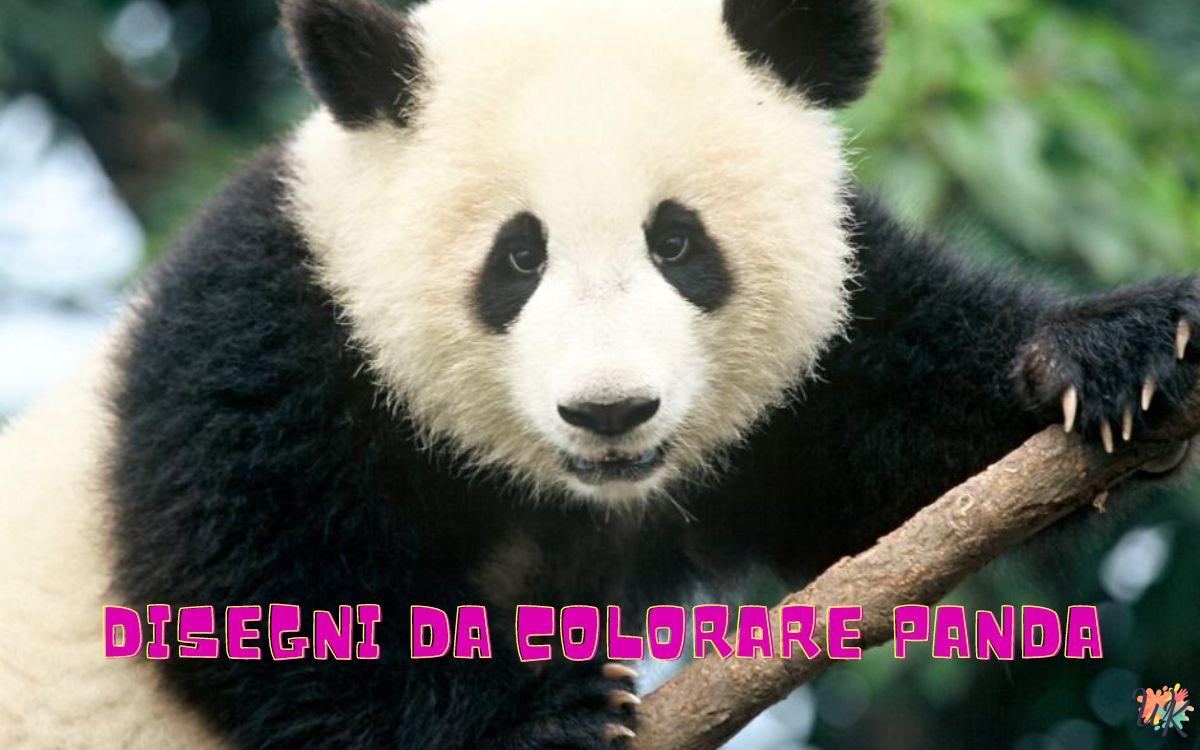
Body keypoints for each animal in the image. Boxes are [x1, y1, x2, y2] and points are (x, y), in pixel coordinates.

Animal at [1, 0, 1196, 747]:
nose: (611, 411)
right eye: (516, 257)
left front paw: (1118, 353)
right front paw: (533, 715)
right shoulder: (268, 330)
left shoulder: (818, 370)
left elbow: (887, 440)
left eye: (678, 242)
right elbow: (251, 591)